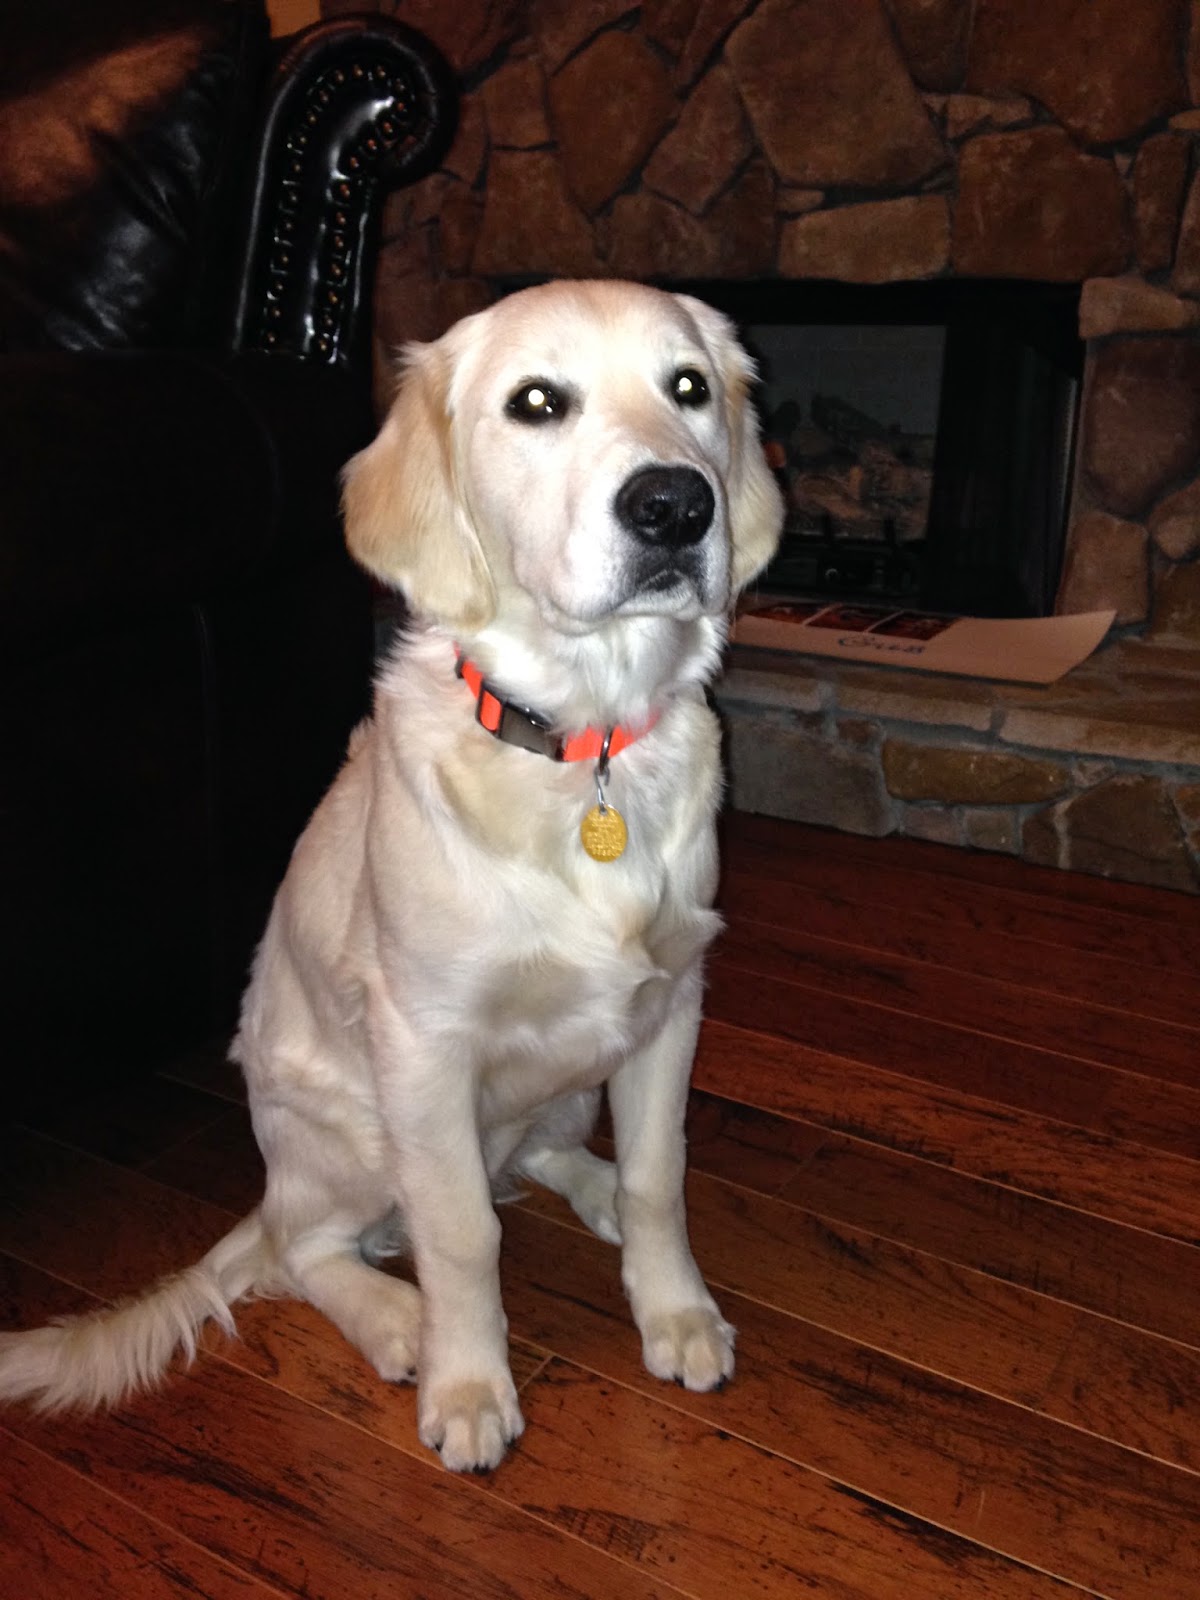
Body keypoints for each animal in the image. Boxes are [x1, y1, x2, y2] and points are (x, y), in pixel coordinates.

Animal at [0, 279, 783, 1471]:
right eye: (536, 402)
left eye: (688, 387)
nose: (675, 509)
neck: (581, 744)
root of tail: (273, 1183)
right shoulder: (424, 1044)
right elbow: (459, 1234)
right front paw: (469, 1386)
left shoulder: (669, 1003)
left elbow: (661, 1178)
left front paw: (677, 1313)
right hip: (355, 1127)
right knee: (315, 1247)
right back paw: (398, 1319)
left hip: (565, 1080)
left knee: (533, 1160)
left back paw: (588, 1190)